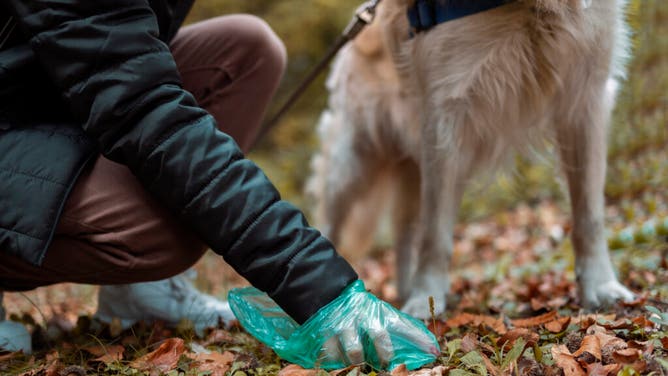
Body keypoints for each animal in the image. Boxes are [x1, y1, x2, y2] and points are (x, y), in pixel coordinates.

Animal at [308, 0, 636, 320]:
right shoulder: (444, 119)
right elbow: (435, 234)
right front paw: (426, 298)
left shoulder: (586, 97)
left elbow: (589, 215)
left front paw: (601, 285)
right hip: (353, 163)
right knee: (331, 223)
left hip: (409, 170)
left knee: (404, 232)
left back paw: (402, 291)